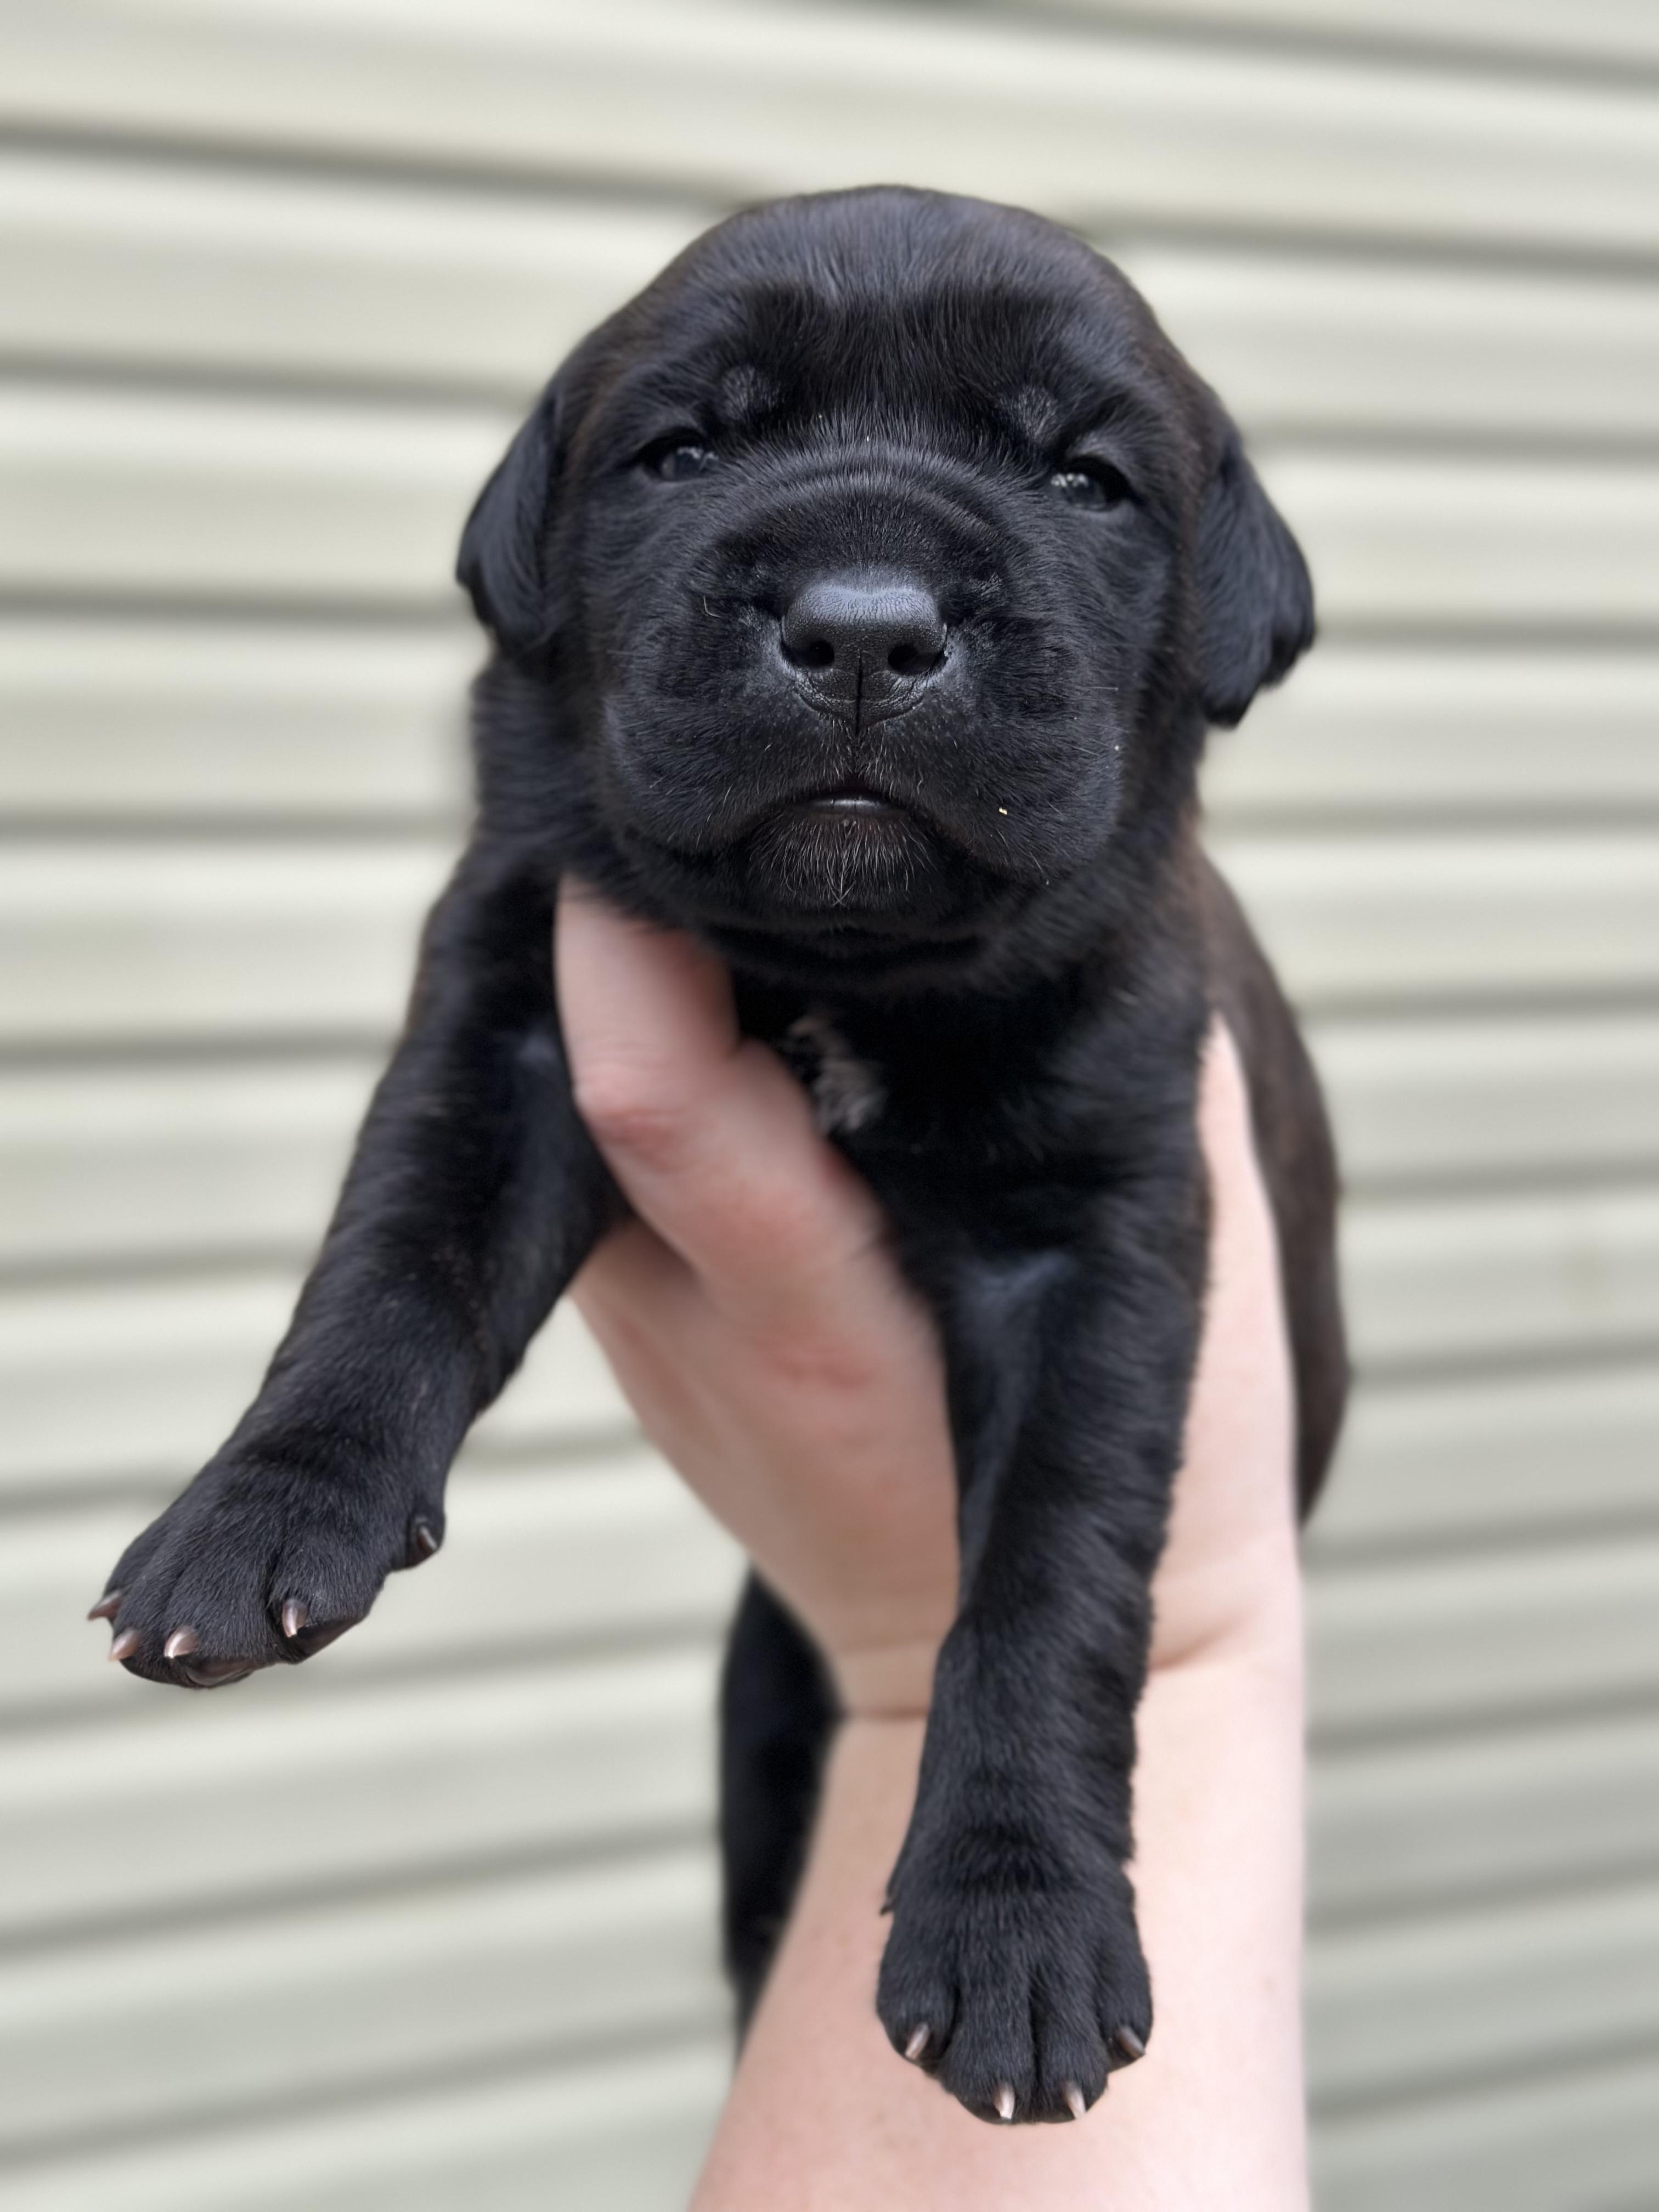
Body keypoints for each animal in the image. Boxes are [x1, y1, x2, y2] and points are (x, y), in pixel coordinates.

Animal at [94, 187, 1345, 2127]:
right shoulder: (511, 1018)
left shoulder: (1103, 1232)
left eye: (1085, 481)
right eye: (683, 453)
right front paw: (259, 1511)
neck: (837, 973)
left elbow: (1052, 1574)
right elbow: (394, 1259)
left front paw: (1020, 1919)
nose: (864, 625)